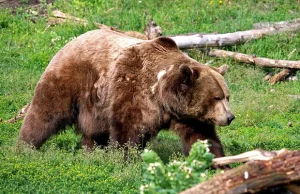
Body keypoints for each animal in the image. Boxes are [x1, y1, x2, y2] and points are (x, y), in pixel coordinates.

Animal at [18, 29, 234, 158]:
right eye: (216, 97)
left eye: (227, 96)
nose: (230, 117)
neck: (163, 97)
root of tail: (71, 41)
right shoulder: (134, 90)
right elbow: (128, 129)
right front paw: (124, 159)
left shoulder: (187, 115)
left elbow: (201, 136)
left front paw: (216, 161)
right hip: (71, 80)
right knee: (45, 113)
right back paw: (25, 146)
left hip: (95, 104)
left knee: (93, 130)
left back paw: (91, 151)